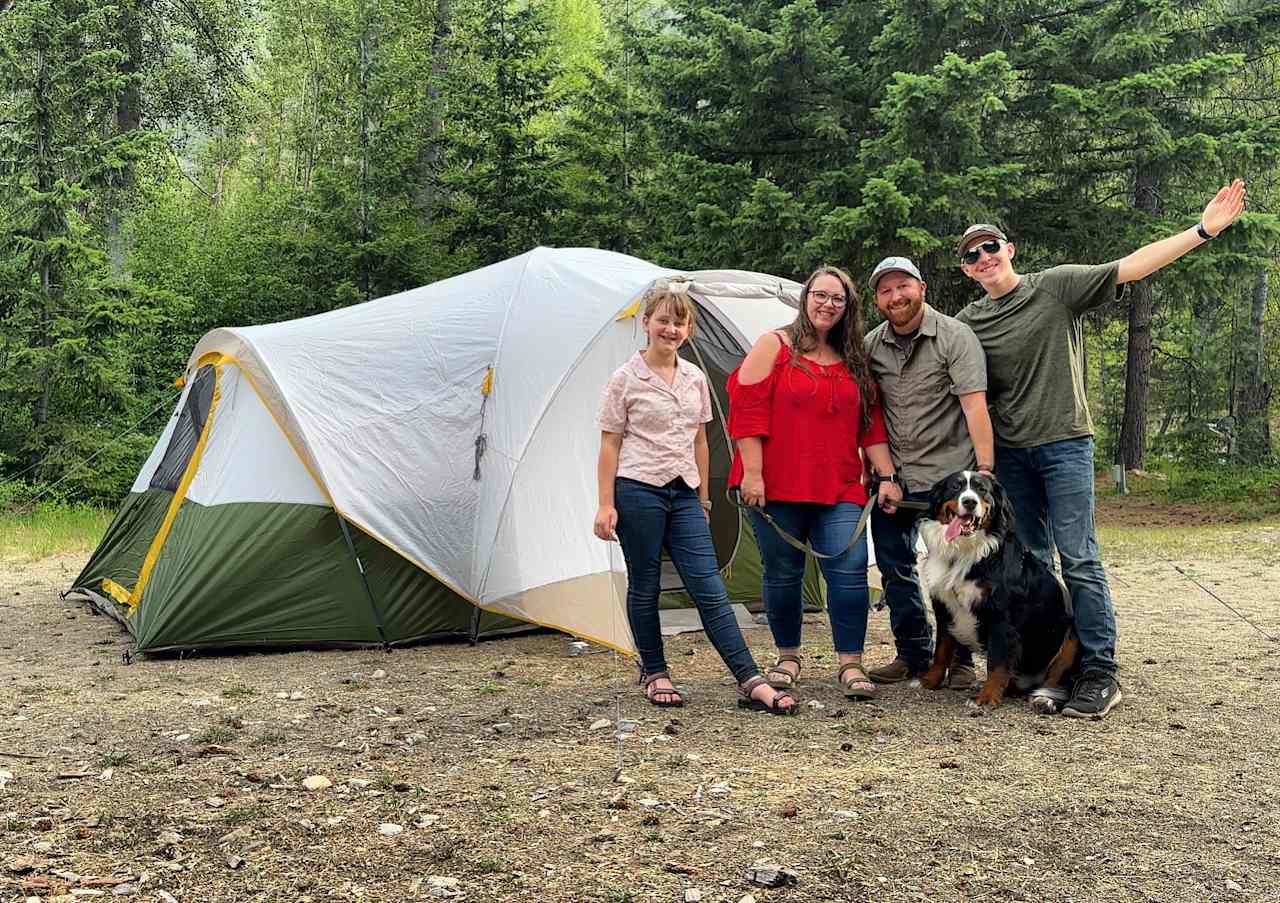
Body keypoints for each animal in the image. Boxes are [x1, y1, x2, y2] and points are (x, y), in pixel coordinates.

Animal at [921, 468, 1080, 717]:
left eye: (981, 489)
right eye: (956, 486)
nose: (969, 501)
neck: (965, 552)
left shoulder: (1001, 617)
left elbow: (996, 664)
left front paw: (986, 698)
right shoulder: (944, 609)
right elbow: (941, 651)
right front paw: (929, 681)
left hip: (1072, 638)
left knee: (1058, 680)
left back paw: (1045, 700)